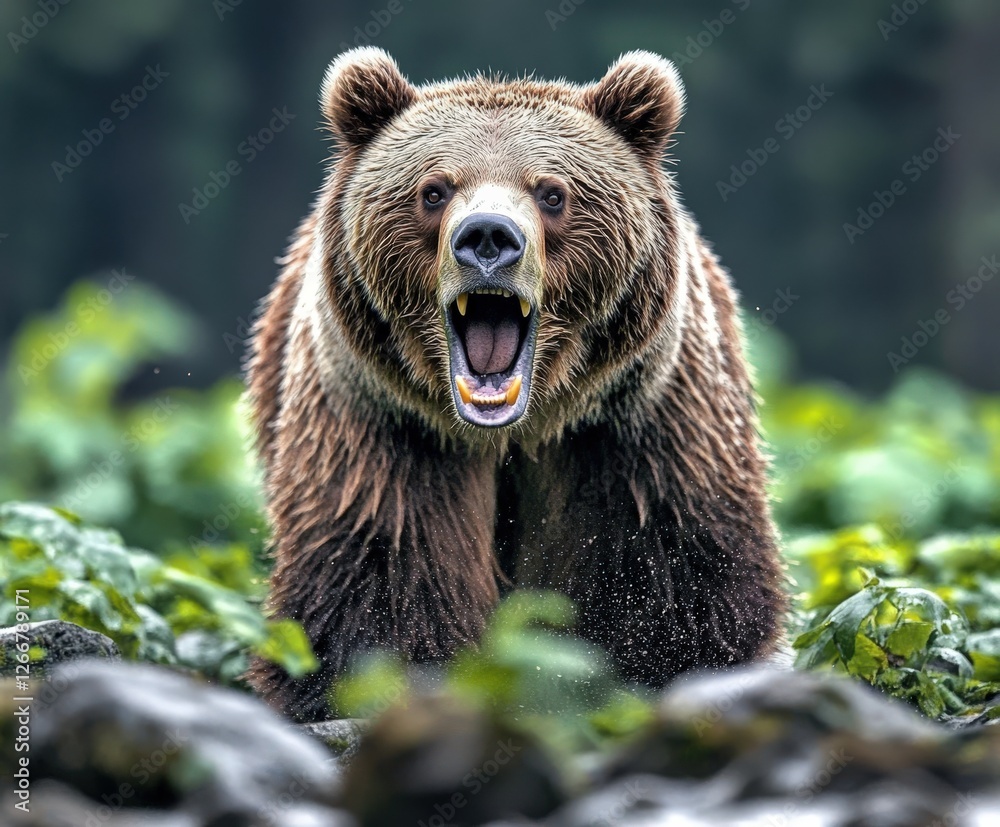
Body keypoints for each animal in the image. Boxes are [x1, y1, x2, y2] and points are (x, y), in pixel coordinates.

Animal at [245, 47, 786, 723]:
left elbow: (672, 579)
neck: (513, 430)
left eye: (553, 192)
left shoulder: (637, 422)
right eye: (433, 189)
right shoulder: (387, 424)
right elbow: (382, 569)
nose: (487, 237)